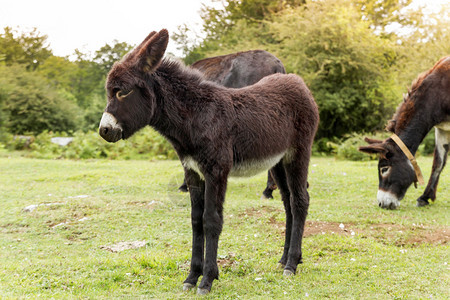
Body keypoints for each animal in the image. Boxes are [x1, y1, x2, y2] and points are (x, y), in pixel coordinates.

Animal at [98, 29, 318, 294]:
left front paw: (207, 279)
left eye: (122, 91)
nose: (104, 131)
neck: (196, 115)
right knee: (287, 202)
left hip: (299, 152)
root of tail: (296, 81)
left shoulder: (217, 171)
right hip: (277, 160)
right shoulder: (193, 172)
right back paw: (285, 259)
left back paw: (292, 264)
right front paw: (192, 276)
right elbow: (196, 221)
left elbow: (211, 220)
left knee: (300, 200)